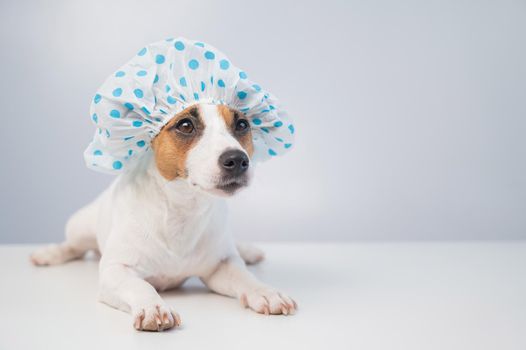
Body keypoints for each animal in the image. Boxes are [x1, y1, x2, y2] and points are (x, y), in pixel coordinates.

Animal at [32, 103, 296, 330]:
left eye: (242, 124)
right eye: (186, 125)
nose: (238, 159)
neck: (182, 209)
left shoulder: (221, 267)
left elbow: (245, 278)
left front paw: (265, 292)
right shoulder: (116, 271)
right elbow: (139, 285)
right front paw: (153, 306)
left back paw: (248, 251)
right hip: (79, 227)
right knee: (73, 246)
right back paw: (48, 253)